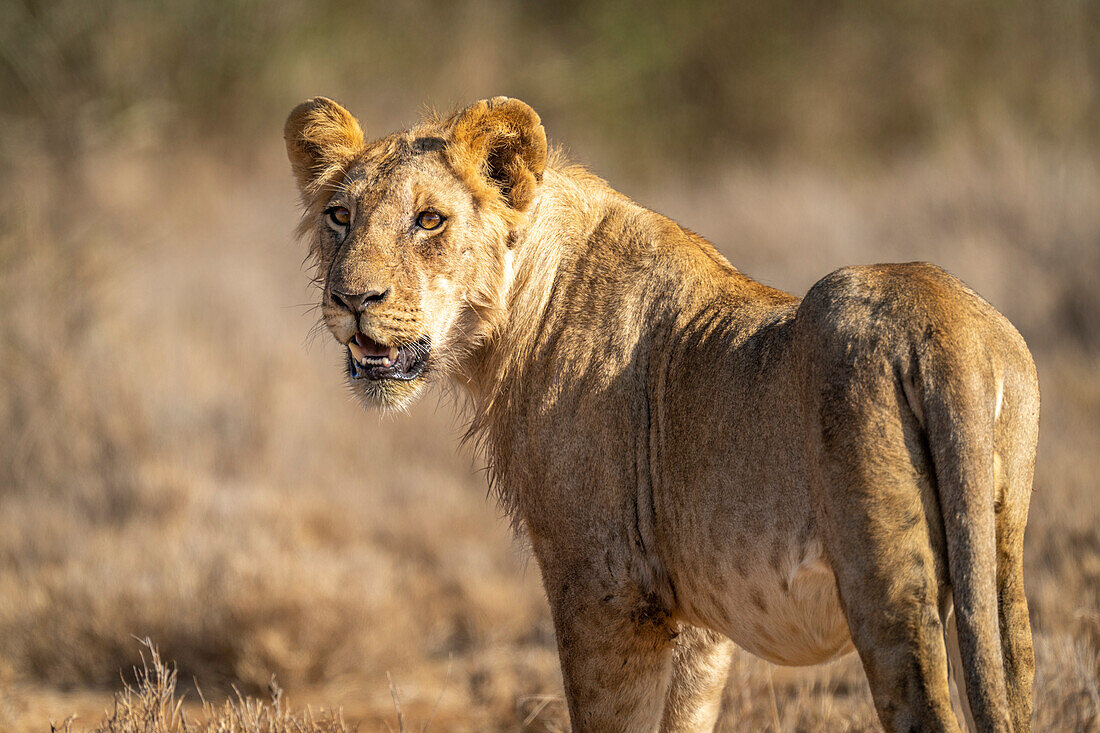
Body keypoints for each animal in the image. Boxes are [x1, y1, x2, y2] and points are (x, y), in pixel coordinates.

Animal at [283, 96, 1038, 730]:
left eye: (429, 219)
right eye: (339, 216)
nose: (351, 299)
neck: (518, 313)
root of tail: (945, 324)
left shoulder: (605, 588)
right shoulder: (698, 610)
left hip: (887, 577)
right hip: (999, 565)